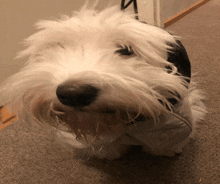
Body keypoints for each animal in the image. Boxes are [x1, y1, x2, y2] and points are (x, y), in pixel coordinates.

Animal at [0, 6, 206, 160]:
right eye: (58, 48)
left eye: (125, 50)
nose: (74, 93)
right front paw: (110, 153)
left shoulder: (172, 126)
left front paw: (165, 150)